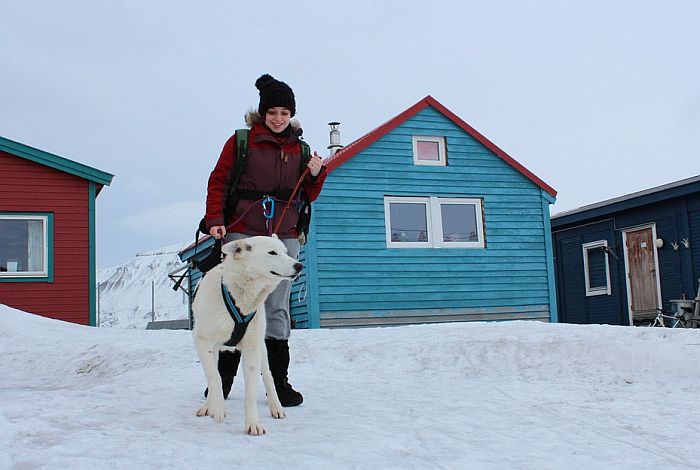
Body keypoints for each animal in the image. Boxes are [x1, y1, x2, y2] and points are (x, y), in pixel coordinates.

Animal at [190, 237, 302, 436]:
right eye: (272, 252)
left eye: (285, 252)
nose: (299, 265)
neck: (239, 296)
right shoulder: (202, 341)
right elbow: (214, 377)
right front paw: (218, 408)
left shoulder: (251, 349)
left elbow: (251, 392)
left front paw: (252, 424)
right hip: (213, 349)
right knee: (213, 373)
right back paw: (209, 405)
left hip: (261, 350)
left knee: (268, 377)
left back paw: (276, 406)